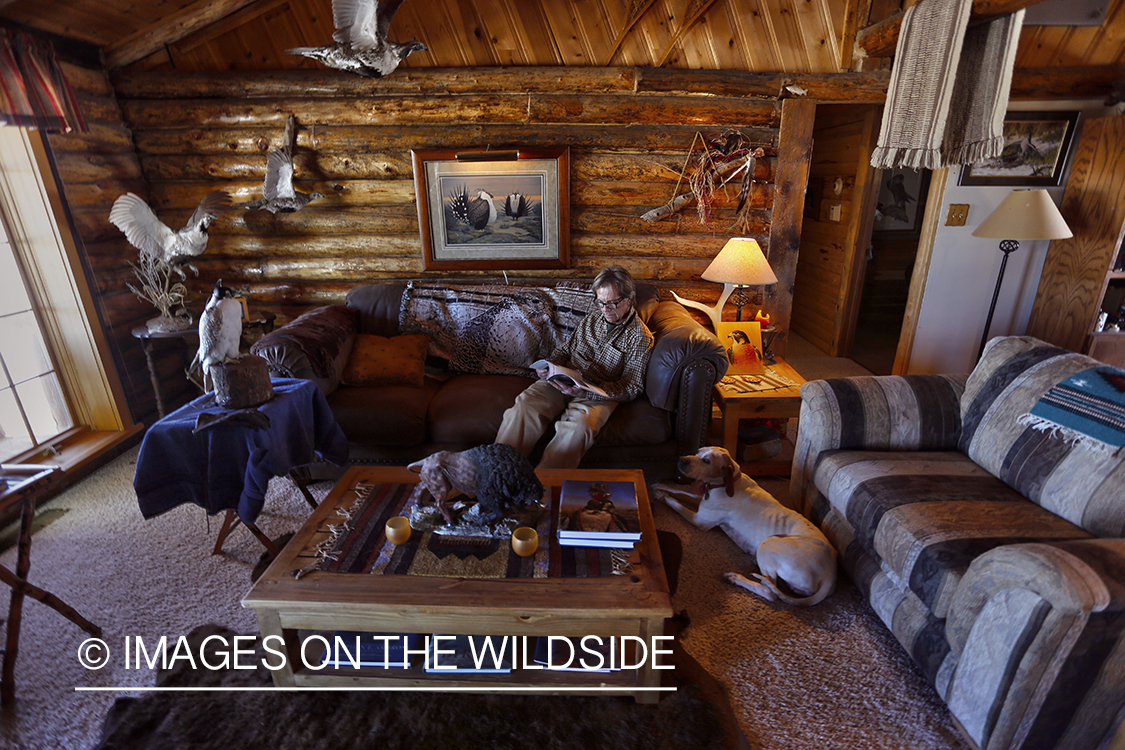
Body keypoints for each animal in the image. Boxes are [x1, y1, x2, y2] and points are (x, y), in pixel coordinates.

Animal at [652, 449, 837, 607]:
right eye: (698, 452)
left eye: (706, 461)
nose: (681, 459)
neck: (727, 483)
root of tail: (830, 574)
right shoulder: (701, 501)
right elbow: (681, 493)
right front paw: (659, 487)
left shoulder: (699, 520)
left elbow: (675, 502)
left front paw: (662, 496)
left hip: (768, 543)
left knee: (770, 592)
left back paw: (735, 578)